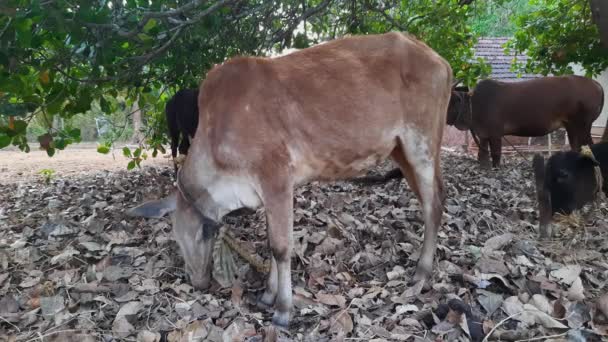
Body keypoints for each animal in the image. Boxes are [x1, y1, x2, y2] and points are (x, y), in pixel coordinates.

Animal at [126, 32, 454, 328]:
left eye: (195, 235)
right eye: (176, 241)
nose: (197, 282)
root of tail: (440, 60)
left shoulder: (277, 178)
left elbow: (281, 247)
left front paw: (283, 309)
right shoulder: (265, 191)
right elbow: (271, 242)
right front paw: (268, 295)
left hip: (421, 144)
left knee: (434, 204)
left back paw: (421, 273)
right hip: (401, 152)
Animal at [446, 77, 604, 169]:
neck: (474, 104)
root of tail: (596, 84)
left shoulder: (495, 134)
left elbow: (496, 155)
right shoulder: (484, 135)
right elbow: (482, 155)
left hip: (583, 125)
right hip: (571, 126)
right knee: (576, 148)